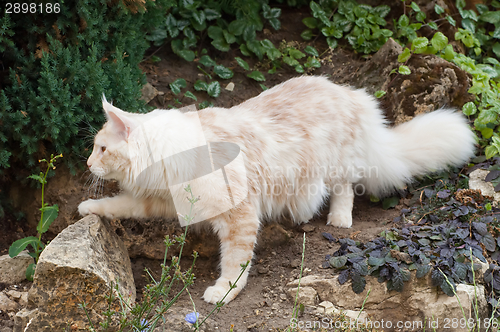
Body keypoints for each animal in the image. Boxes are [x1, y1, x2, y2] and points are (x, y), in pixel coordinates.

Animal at [77, 75, 472, 304]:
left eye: (102, 149)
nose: (87, 164)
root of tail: (349, 92)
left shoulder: (239, 215)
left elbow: (235, 261)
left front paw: (225, 291)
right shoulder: (160, 201)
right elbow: (119, 203)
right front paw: (87, 208)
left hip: (335, 164)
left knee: (345, 188)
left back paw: (339, 218)